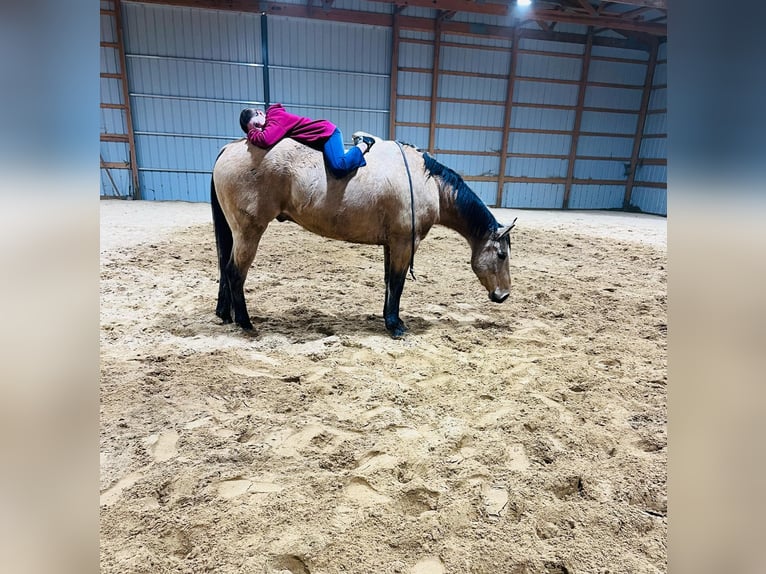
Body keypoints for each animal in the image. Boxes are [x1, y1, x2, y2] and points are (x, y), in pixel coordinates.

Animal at [213, 137, 520, 340]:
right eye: (501, 254)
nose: (503, 295)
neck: (426, 181)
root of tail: (230, 147)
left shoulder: (391, 245)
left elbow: (388, 284)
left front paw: (388, 319)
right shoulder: (404, 244)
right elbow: (397, 283)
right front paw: (396, 326)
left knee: (224, 269)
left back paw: (225, 314)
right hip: (249, 232)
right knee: (235, 272)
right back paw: (245, 323)